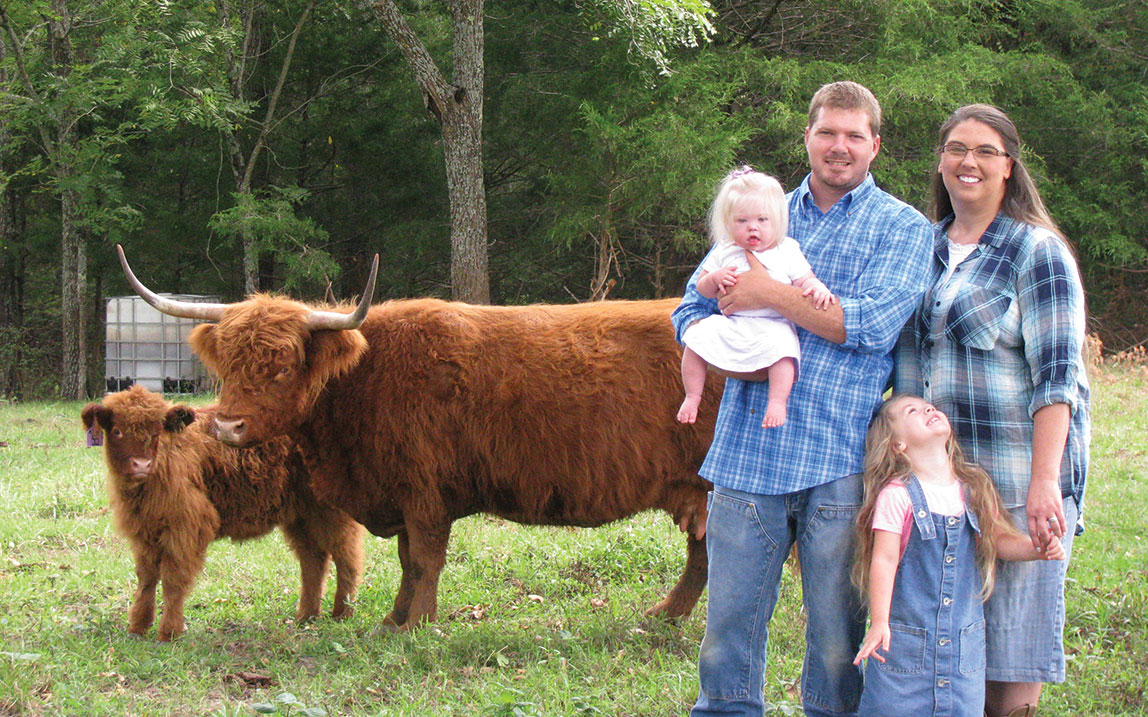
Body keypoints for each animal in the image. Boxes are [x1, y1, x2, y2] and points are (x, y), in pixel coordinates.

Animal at [82, 387, 362, 642]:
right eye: (117, 431)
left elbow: (173, 580)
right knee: (313, 560)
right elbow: (146, 579)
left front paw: (168, 632)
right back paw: (307, 615)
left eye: (157, 431)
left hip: (329, 511)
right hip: (302, 515)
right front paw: (138, 627)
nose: (141, 464)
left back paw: (342, 613)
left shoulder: (187, 528)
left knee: (346, 556)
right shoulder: (144, 533)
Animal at [118, 247, 716, 633]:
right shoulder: (399, 495)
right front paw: (393, 619)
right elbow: (407, 562)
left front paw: (417, 627)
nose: (226, 427)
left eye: (283, 366)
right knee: (703, 555)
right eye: (227, 364)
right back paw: (667, 616)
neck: (363, 380)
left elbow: (426, 560)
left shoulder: (425, 494)